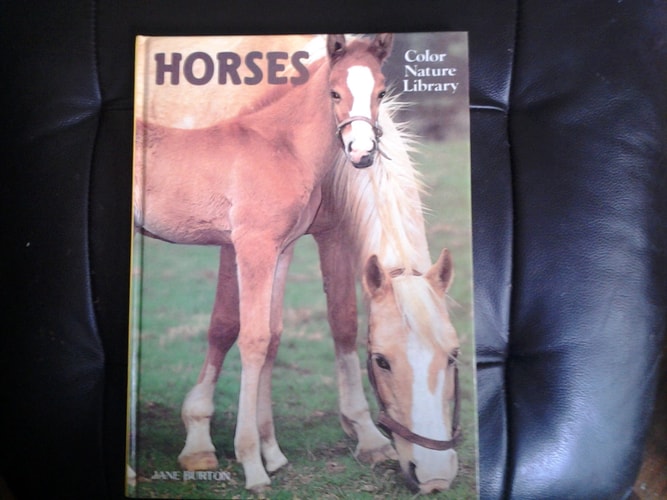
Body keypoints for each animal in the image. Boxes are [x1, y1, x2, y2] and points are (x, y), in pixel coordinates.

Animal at [134, 33, 394, 490]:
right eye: (334, 92)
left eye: (381, 91)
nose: (362, 153)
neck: (282, 145)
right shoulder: (254, 245)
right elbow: (252, 340)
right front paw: (252, 465)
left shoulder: (282, 249)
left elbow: (272, 337)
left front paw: (272, 454)